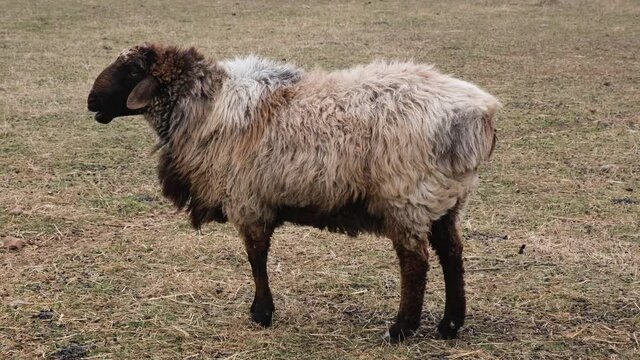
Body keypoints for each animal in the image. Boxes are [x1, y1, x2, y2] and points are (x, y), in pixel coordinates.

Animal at [87, 43, 500, 342]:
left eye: (132, 71)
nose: (91, 101)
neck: (206, 106)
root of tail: (480, 114)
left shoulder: (248, 202)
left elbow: (256, 258)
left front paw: (261, 313)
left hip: (407, 196)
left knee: (415, 263)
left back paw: (400, 329)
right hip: (445, 198)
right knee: (452, 254)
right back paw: (449, 326)